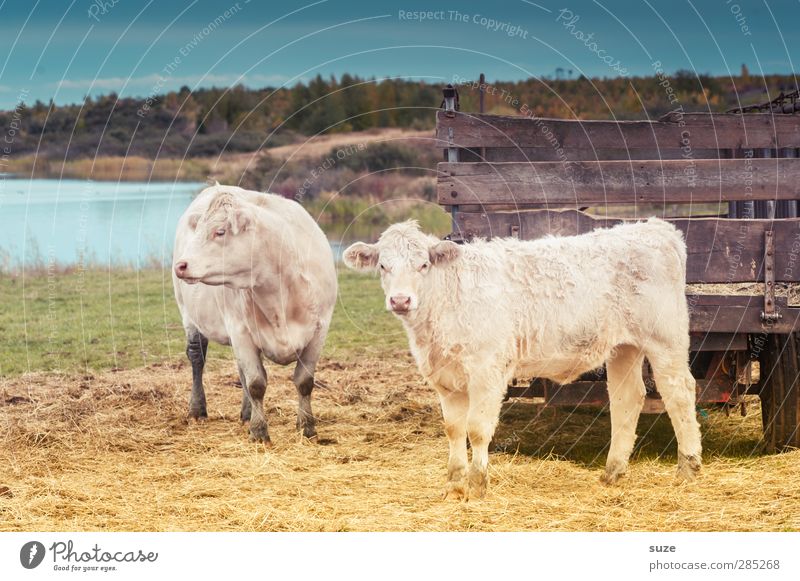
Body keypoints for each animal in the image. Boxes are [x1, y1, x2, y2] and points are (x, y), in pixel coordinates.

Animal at [173, 184, 336, 442]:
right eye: (198, 230)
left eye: (220, 231)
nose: (181, 265)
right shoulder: (240, 331)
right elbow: (257, 384)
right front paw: (259, 432)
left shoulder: (320, 329)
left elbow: (304, 381)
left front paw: (307, 427)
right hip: (189, 316)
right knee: (197, 358)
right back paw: (198, 409)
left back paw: (247, 413)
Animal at [344, 218, 700, 498]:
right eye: (383, 266)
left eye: (423, 265)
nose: (400, 300)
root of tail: (653, 227)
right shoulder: (446, 379)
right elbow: (454, 430)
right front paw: (454, 486)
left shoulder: (486, 370)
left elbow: (477, 429)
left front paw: (477, 485)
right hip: (624, 347)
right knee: (628, 398)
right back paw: (613, 472)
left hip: (665, 338)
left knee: (679, 393)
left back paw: (688, 468)